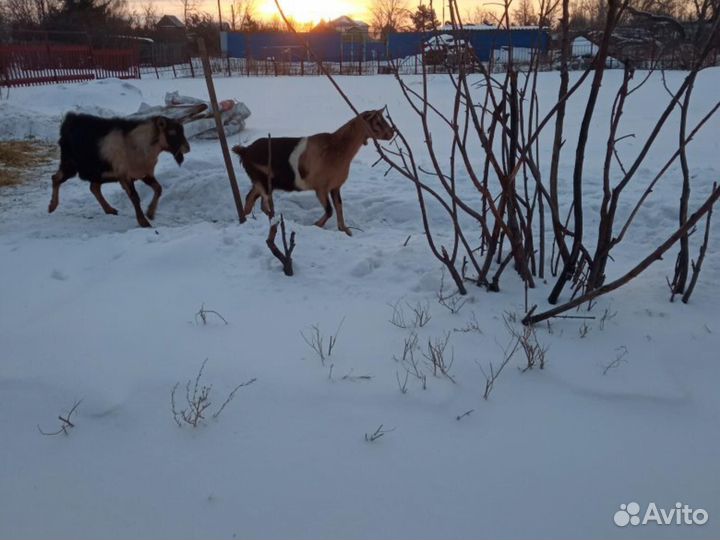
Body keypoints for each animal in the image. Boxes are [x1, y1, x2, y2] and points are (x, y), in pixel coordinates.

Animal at [48, 112, 190, 228]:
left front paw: (150, 213)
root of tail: (68, 121)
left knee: (94, 187)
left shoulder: (144, 174)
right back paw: (52, 206)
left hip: (99, 172)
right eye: (172, 133)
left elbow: (158, 189)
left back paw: (109, 209)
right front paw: (144, 222)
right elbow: (135, 198)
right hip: (70, 164)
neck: (139, 146)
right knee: (56, 178)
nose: (187, 148)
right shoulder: (125, 176)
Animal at [232, 109, 394, 236]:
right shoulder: (321, 188)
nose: (392, 133)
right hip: (263, 181)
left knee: (251, 198)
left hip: (261, 182)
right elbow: (329, 210)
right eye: (378, 122)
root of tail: (245, 151)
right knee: (262, 203)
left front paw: (345, 230)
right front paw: (316, 225)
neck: (338, 148)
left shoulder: (335, 187)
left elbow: (339, 207)